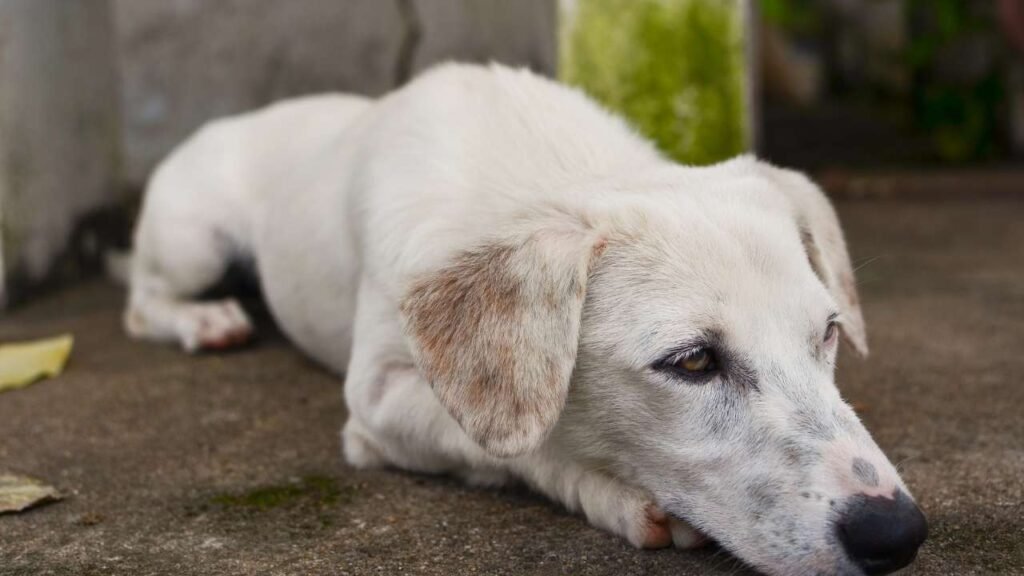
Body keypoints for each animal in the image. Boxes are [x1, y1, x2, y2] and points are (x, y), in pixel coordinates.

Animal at [121, 62, 929, 573]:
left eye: (827, 333)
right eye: (693, 361)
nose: (897, 532)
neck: (541, 171)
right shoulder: (375, 405)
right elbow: (522, 446)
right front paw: (618, 494)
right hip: (195, 241)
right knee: (140, 303)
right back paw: (204, 321)